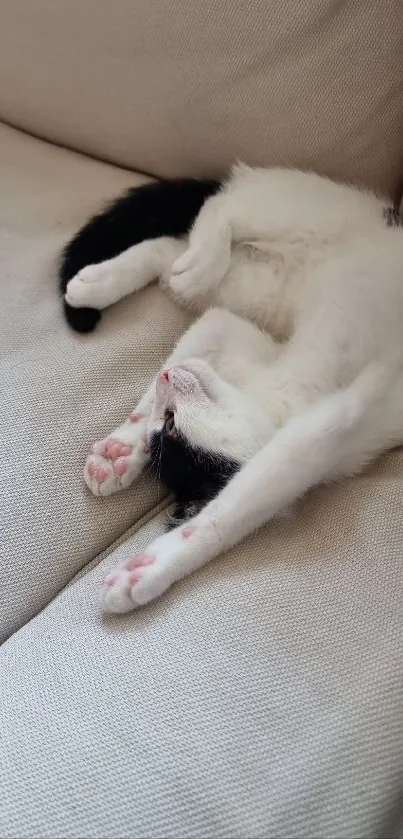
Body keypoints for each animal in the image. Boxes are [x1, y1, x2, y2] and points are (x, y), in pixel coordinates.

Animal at [60, 164, 403, 612]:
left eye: (171, 424)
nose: (167, 380)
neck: (269, 392)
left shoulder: (324, 432)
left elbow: (232, 511)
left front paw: (149, 569)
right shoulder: (228, 334)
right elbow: (201, 338)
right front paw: (120, 449)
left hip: (295, 243)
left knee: (213, 215)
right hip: (265, 271)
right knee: (210, 216)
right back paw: (114, 280)